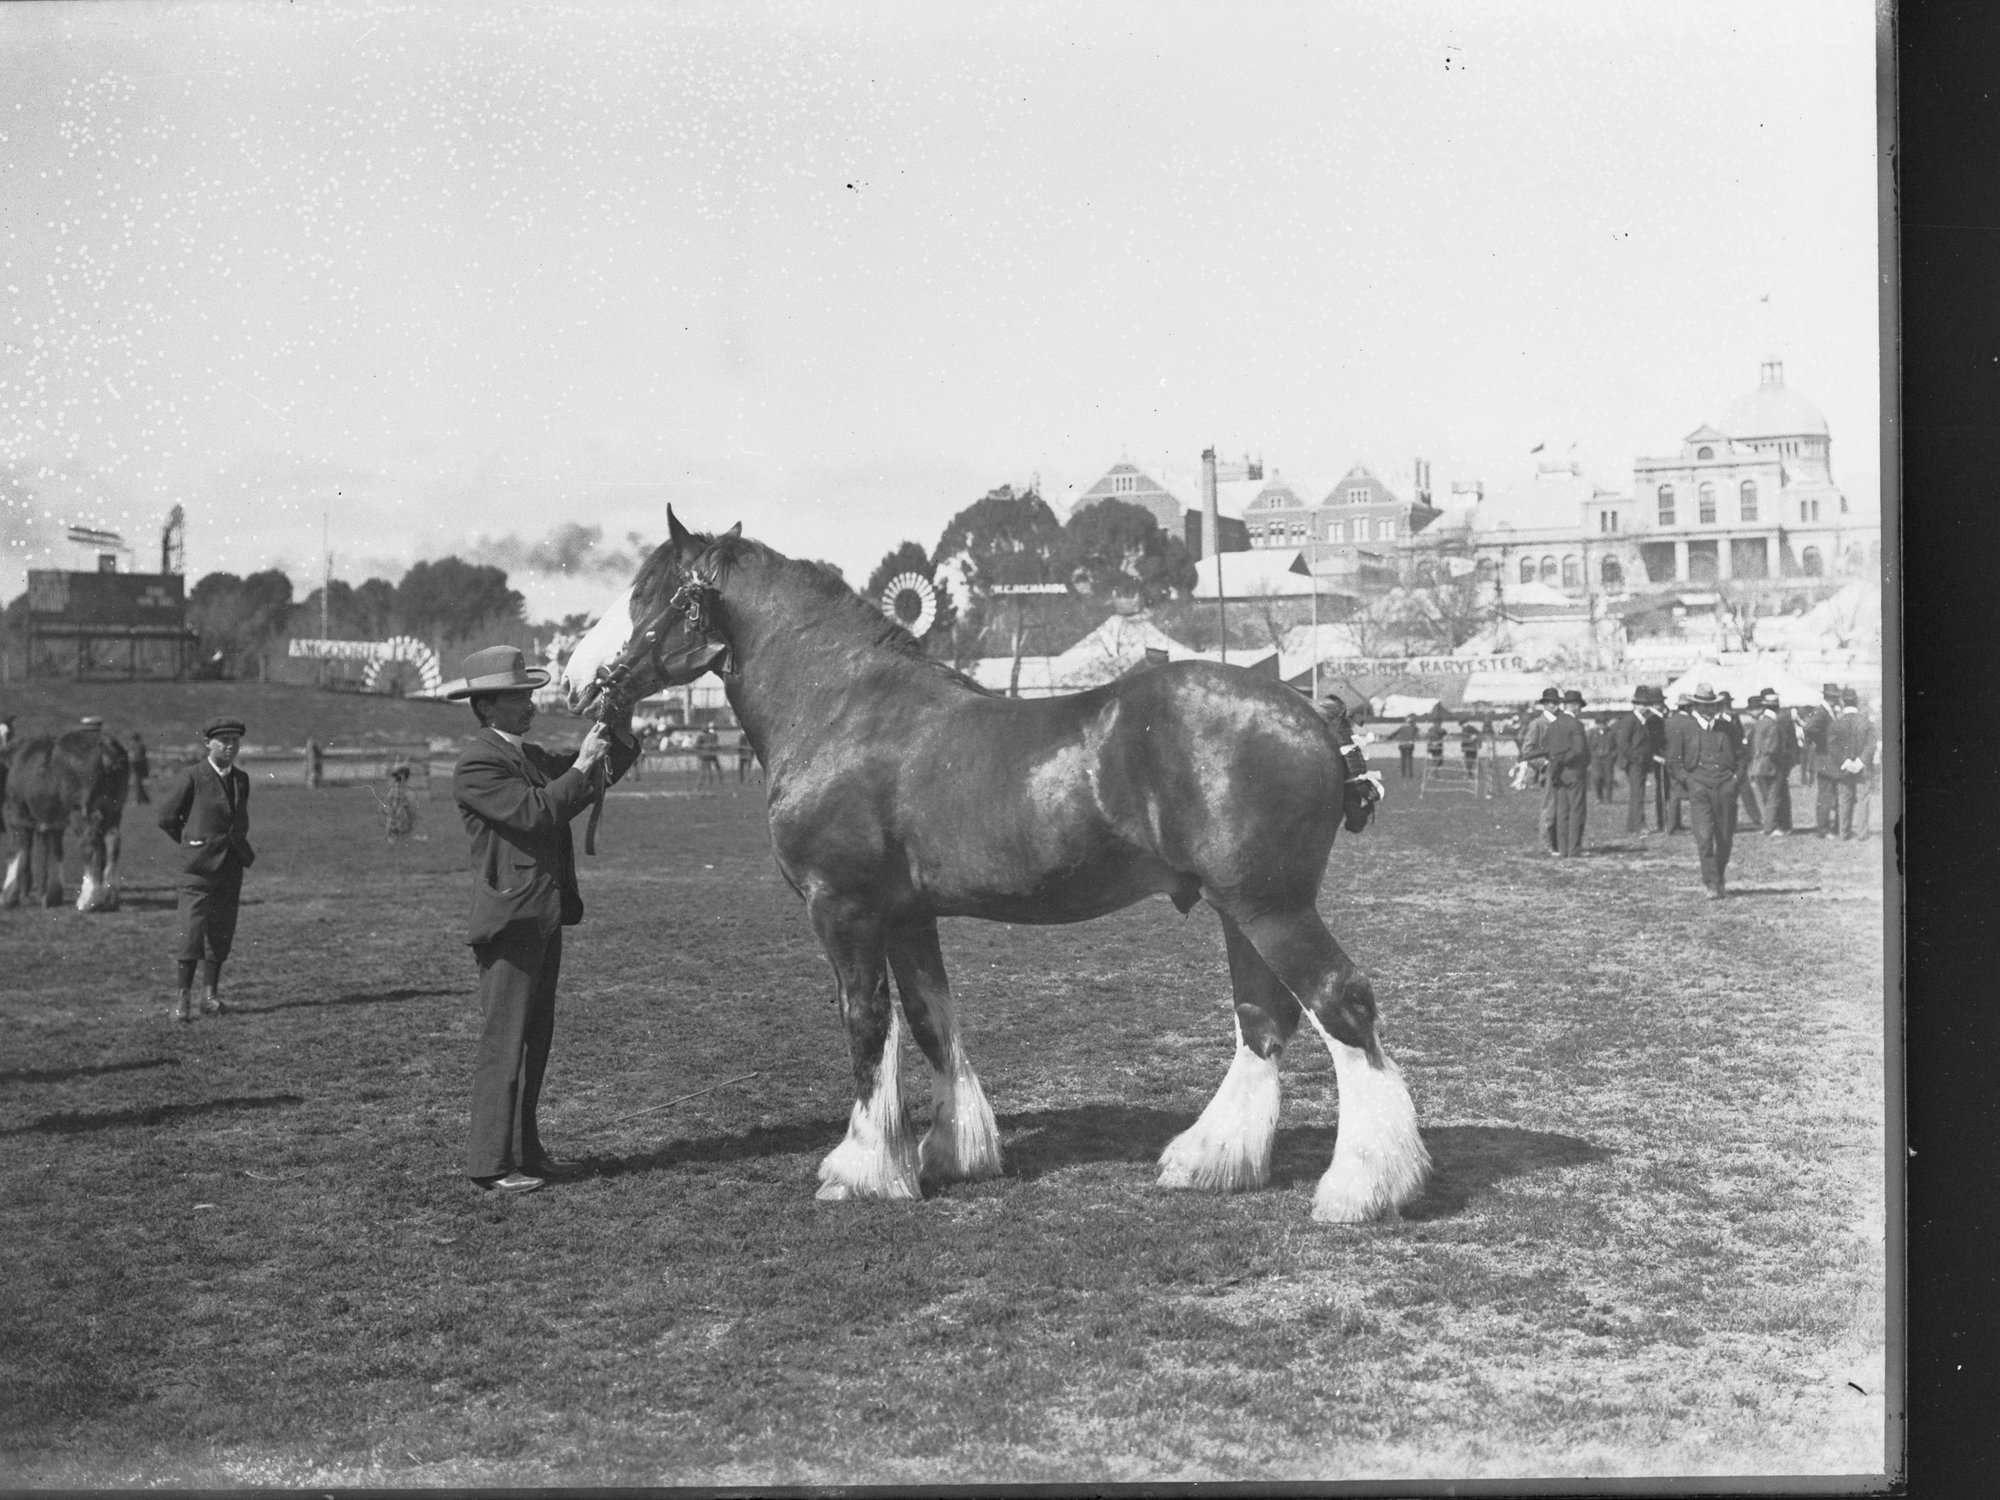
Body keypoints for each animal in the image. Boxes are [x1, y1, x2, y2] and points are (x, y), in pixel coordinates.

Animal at [2, 729, 130, 912]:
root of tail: (107, 746)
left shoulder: (18, 814)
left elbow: (17, 851)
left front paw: (8, 896)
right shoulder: (54, 820)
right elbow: (56, 850)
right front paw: (52, 895)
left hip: (82, 812)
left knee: (90, 846)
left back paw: (87, 900)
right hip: (113, 810)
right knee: (113, 843)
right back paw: (109, 898)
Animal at [562, 509, 1429, 1222]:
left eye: (646, 592)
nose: (570, 678)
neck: (841, 708)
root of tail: (1311, 711)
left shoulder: (841, 909)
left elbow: (865, 1024)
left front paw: (861, 1170)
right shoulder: (908, 917)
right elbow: (930, 1021)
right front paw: (953, 1154)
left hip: (1270, 908)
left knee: (1340, 1004)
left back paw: (1362, 1188)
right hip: (1237, 909)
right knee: (1265, 1019)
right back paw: (1213, 1160)